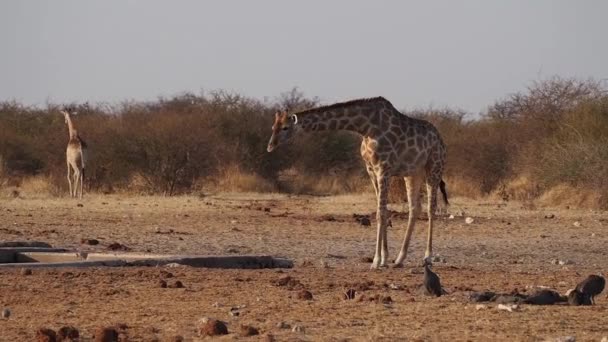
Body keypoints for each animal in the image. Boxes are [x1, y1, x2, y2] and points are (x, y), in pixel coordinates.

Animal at [268, 97, 448, 268]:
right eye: (272, 127)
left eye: (285, 128)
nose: (270, 146)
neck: (366, 127)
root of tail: (440, 140)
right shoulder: (371, 170)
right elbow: (383, 211)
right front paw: (384, 258)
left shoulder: (384, 169)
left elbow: (380, 213)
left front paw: (376, 261)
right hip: (412, 173)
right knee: (415, 208)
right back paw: (399, 259)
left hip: (434, 168)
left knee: (431, 208)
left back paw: (427, 257)